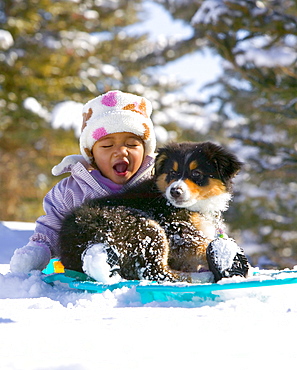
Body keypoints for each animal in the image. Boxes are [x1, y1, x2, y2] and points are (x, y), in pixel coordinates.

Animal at [59, 141, 242, 280]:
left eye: (196, 173)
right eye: (172, 172)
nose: (175, 191)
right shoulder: (178, 232)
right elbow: (201, 245)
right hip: (143, 227)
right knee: (155, 272)